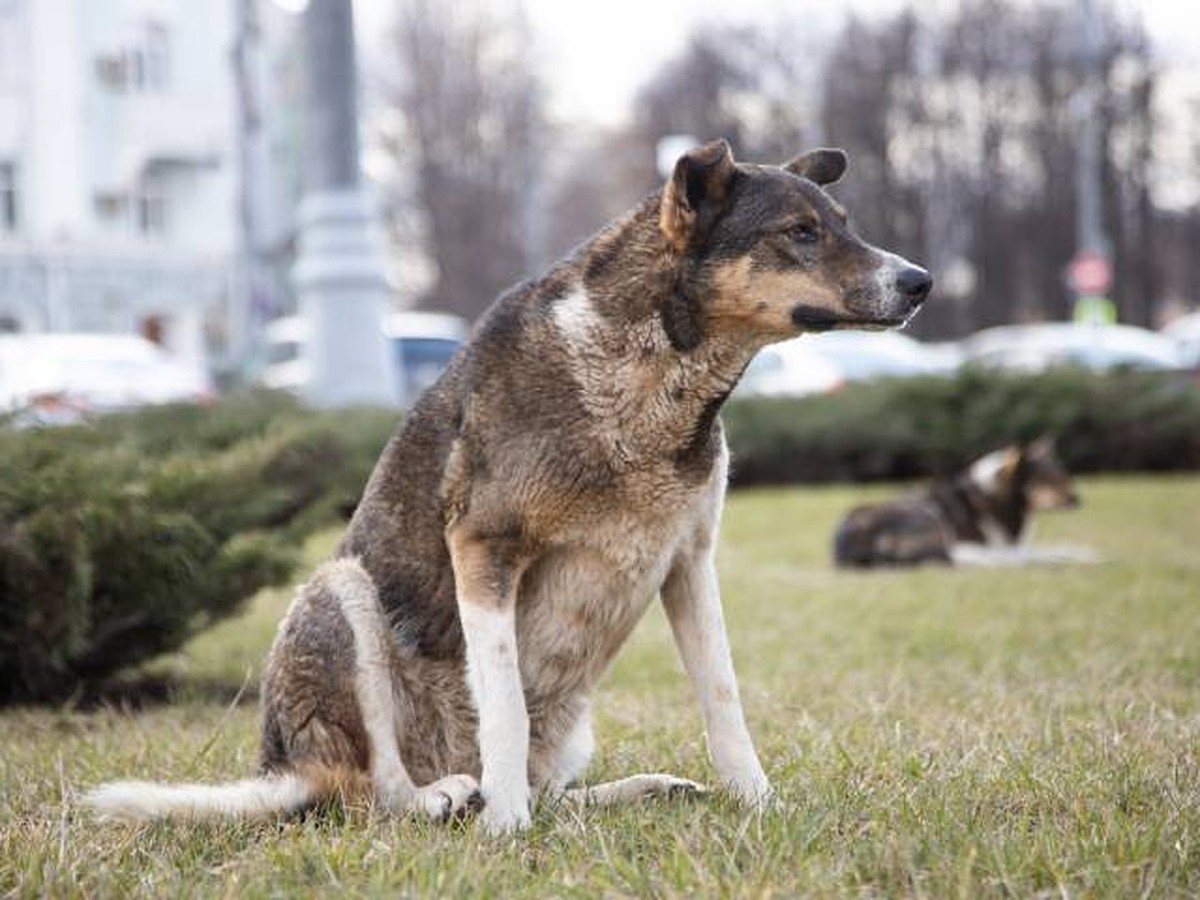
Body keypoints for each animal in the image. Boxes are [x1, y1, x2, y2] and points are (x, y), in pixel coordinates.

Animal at [835, 439, 1099, 571]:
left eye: (1064, 474)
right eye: (1047, 479)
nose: (1077, 499)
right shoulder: (981, 545)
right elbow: (1040, 553)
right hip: (928, 516)